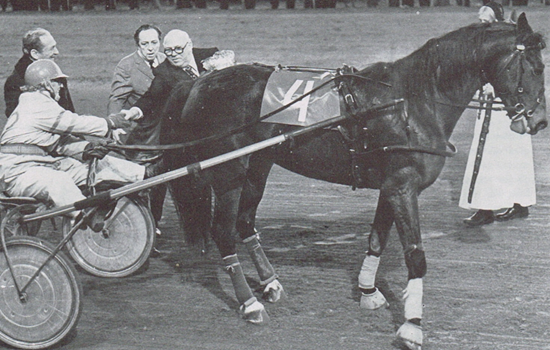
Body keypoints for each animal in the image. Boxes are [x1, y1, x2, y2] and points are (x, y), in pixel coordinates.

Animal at [160, 13, 548, 350]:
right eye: (533, 67)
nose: (539, 121)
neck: (410, 101)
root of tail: (198, 82)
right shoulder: (402, 187)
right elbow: (415, 255)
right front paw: (412, 326)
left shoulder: (391, 186)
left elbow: (377, 238)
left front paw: (368, 291)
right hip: (229, 172)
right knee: (224, 231)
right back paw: (250, 304)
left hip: (258, 166)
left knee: (245, 223)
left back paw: (270, 283)